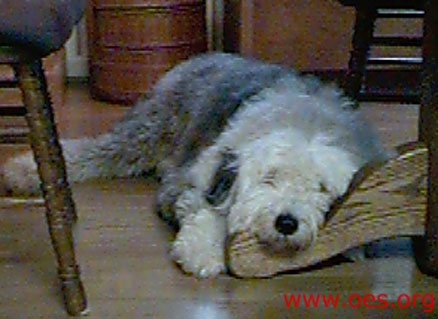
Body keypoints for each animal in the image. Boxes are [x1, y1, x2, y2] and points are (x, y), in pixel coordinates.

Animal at [0, 53, 386, 278]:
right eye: (269, 178)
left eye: (321, 188)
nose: (287, 222)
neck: (304, 120)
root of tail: (205, 53)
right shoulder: (201, 175)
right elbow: (206, 211)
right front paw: (203, 253)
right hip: (145, 130)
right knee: (92, 151)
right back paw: (23, 170)